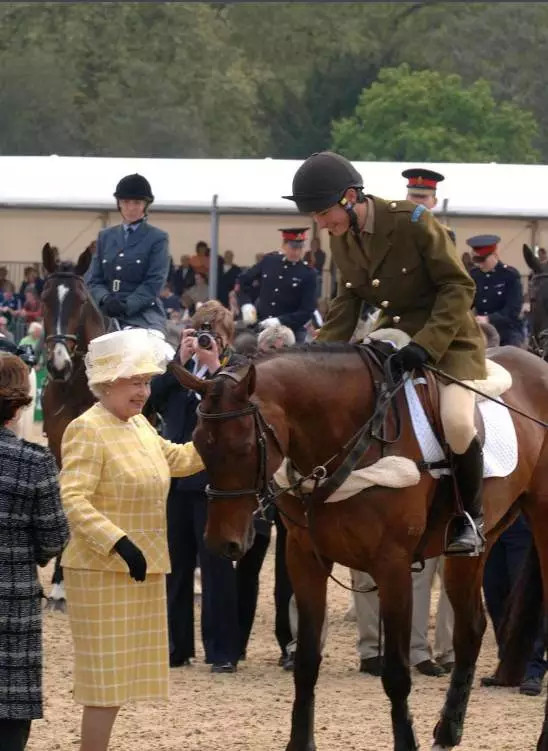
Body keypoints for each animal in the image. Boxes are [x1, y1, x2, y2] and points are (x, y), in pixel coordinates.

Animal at [171, 342, 548, 751]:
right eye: (199, 444)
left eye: (242, 447)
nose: (222, 543)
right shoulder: (304, 558)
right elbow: (306, 662)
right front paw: (300, 742)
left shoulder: (393, 565)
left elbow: (396, 671)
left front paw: (406, 741)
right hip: (476, 545)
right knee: (472, 627)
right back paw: (447, 732)